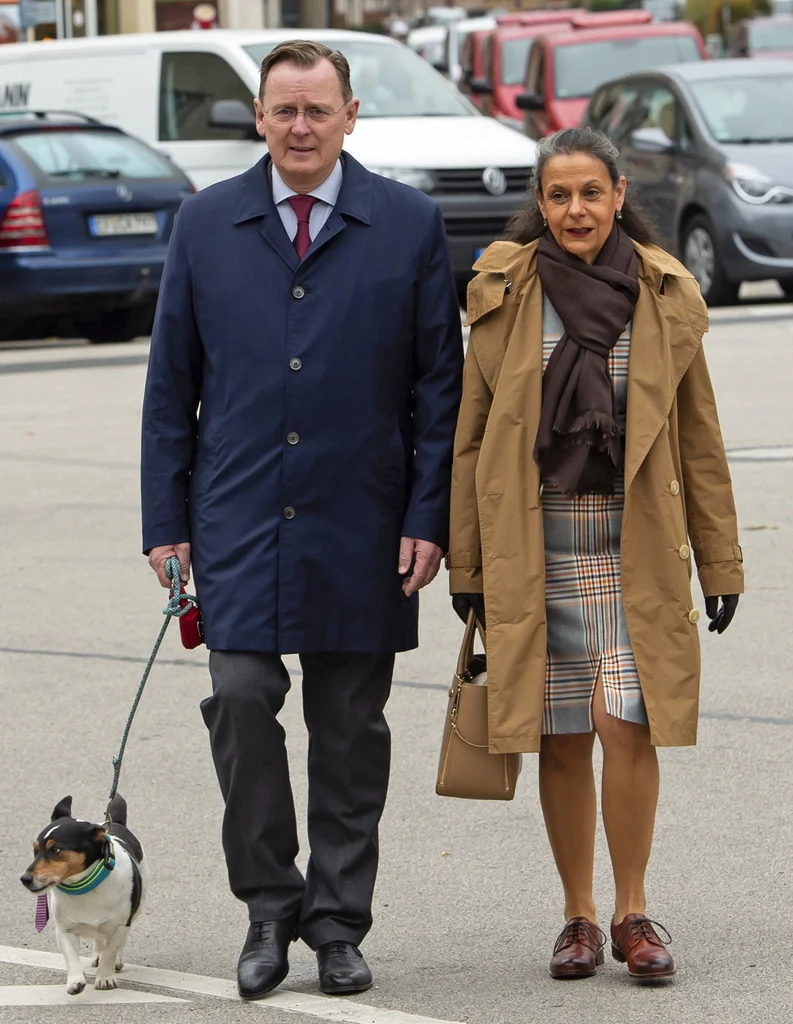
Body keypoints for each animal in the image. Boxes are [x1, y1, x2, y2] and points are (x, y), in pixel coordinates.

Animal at [20, 794, 146, 995]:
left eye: (55, 849)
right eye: (35, 849)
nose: (24, 879)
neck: (84, 887)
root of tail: (116, 824)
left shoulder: (119, 926)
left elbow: (110, 951)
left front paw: (105, 978)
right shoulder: (64, 930)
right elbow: (71, 956)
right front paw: (75, 981)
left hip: (135, 909)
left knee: (119, 940)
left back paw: (116, 960)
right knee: (99, 938)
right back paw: (97, 954)